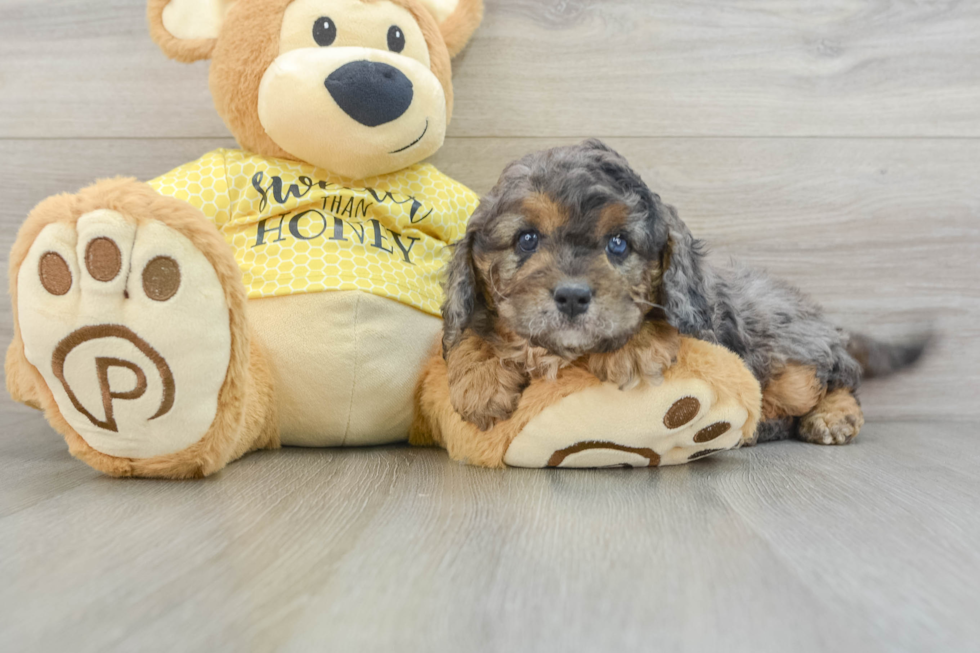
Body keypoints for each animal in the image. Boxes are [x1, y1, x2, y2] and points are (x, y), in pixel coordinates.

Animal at [444, 138, 928, 444]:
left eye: (618, 243)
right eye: (526, 239)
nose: (572, 297)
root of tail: (823, 319)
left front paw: (635, 345)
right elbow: (471, 331)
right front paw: (479, 377)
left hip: (793, 362)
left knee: (838, 379)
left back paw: (831, 416)